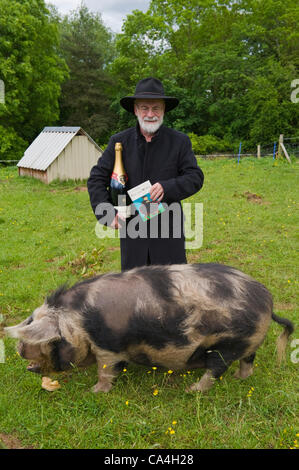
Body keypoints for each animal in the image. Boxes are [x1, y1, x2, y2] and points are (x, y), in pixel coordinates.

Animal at [4, 264, 296, 392]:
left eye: (46, 342)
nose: (20, 352)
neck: (79, 321)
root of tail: (267, 301)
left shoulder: (108, 346)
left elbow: (105, 370)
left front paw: (95, 391)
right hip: (247, 341)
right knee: (247, 361)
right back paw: (240, 379)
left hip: (227, 343)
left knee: (216, 369)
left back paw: (193, 391)